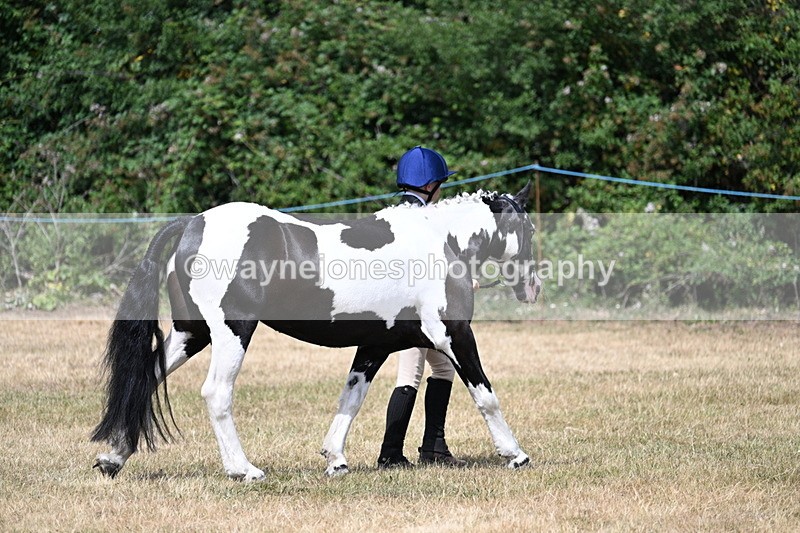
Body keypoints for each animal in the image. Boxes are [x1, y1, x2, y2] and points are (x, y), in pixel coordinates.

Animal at [91, 183, 541, 480]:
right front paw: (515, 453)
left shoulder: (374, 344)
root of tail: (193, 224)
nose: (532, 287)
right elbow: (485, 394)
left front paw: (335, 458)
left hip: (191, 334)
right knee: (216, 393)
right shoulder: (453, 335)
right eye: (529, 229)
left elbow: (352, 399)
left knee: (145, 378)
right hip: (232, 332)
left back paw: (114, 458)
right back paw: (243, 469)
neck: (440, 241)